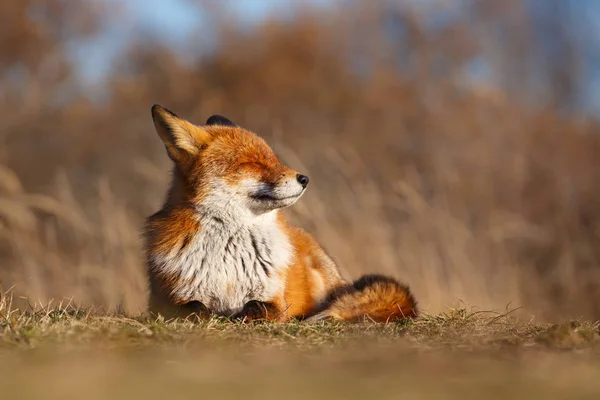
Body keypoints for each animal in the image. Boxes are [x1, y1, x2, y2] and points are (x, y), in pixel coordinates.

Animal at [145, 105, 418, 322]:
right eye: (252, 163)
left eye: (274, 160)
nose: (304, 178)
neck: (229, 254)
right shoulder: (164, 301)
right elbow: (192, 308)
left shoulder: (274, 299)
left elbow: (258, 306)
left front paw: (241, 316)